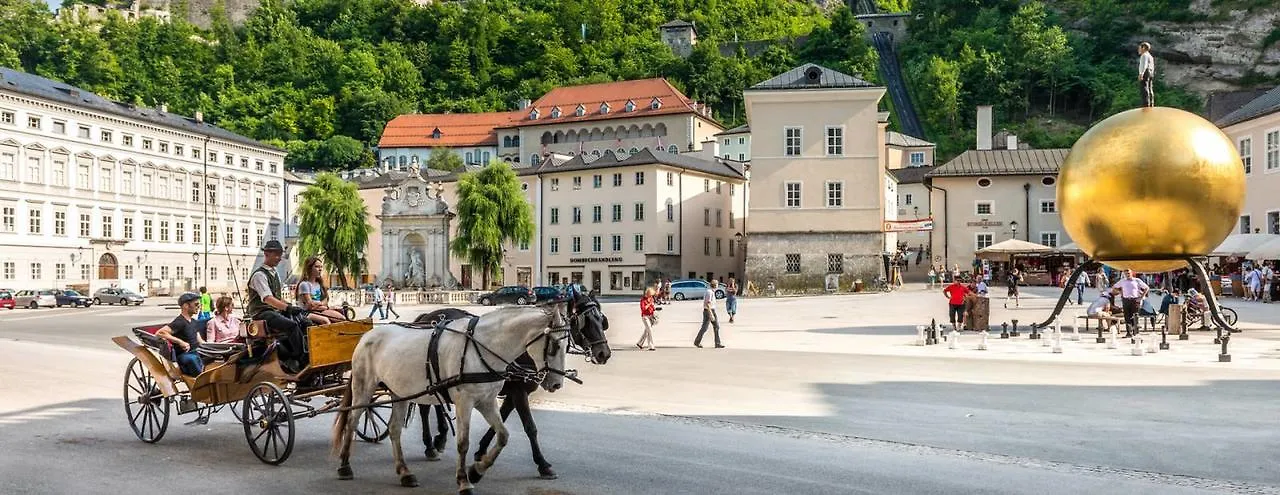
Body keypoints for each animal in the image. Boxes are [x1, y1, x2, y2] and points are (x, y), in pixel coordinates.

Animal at [330, 304, 570, 493]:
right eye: (554, 346)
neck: (482, 347)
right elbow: (463, 443)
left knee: (394, 429)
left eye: (566, 346)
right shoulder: (466, 402)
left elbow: (503, 435)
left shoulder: (487, 401)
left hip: (400, 392)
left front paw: (477, 471)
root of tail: (367, 336)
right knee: (352, 421)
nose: (556, 384)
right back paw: (344, 465)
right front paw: (464, 480)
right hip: (364, 387)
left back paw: (405, 472)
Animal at [409, 290, 609, 480]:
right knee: (424, 408)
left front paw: (481, 450)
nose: (604, 353)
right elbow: (530, 427)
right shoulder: (519, 392)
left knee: (436, 401)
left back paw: (440, 438)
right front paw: (543, 464)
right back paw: (430, 445)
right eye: (585, 321)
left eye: (601, 319)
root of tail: (428, 316)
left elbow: (501, 419)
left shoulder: (514, 393)